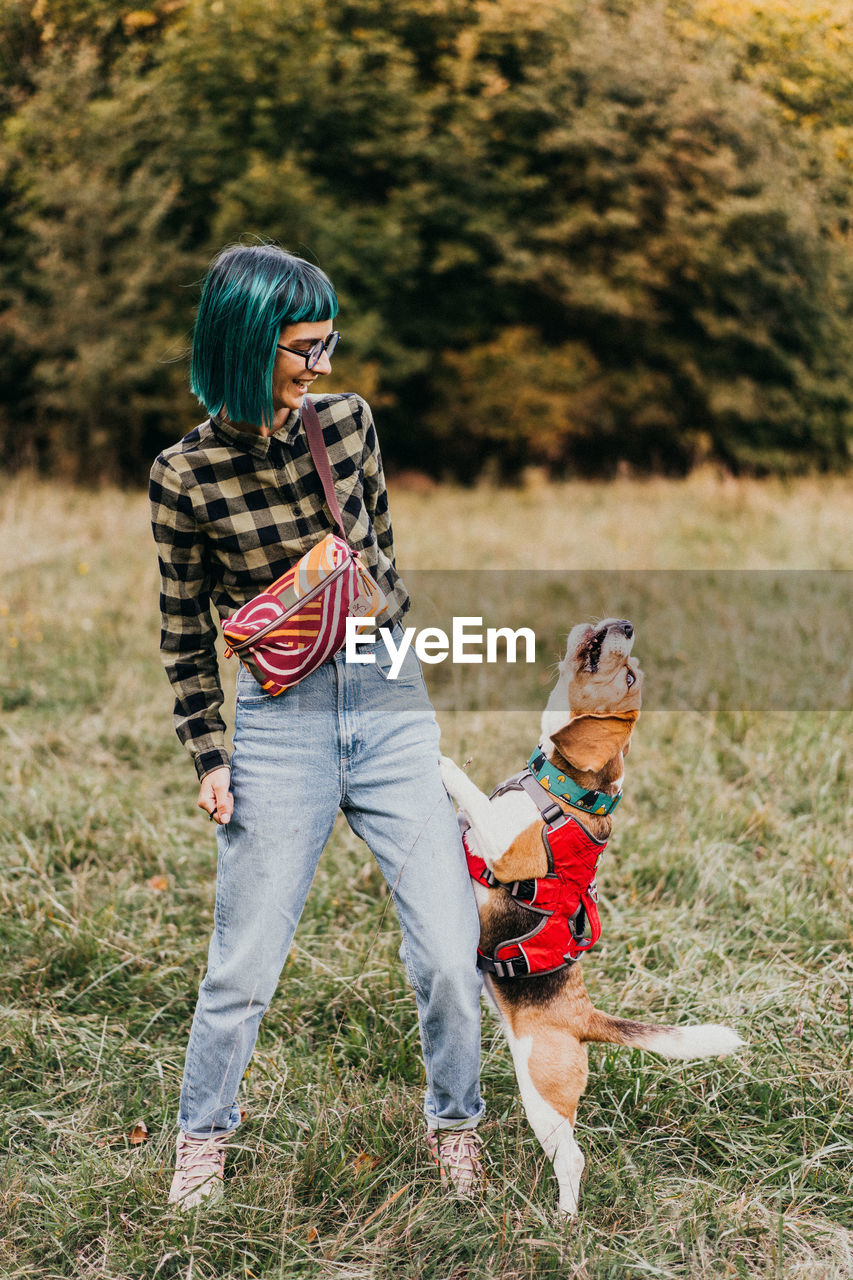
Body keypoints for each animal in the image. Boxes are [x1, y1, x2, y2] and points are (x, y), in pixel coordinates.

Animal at [438, 614, 737, 1213]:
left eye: (629, 679)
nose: (626, 623)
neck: (562, 789)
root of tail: (584, 1016)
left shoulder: (508, 852)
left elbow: (467, 792)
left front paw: (439, 758)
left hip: (542, 1091)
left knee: (571, 1158)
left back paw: (563, 1219)